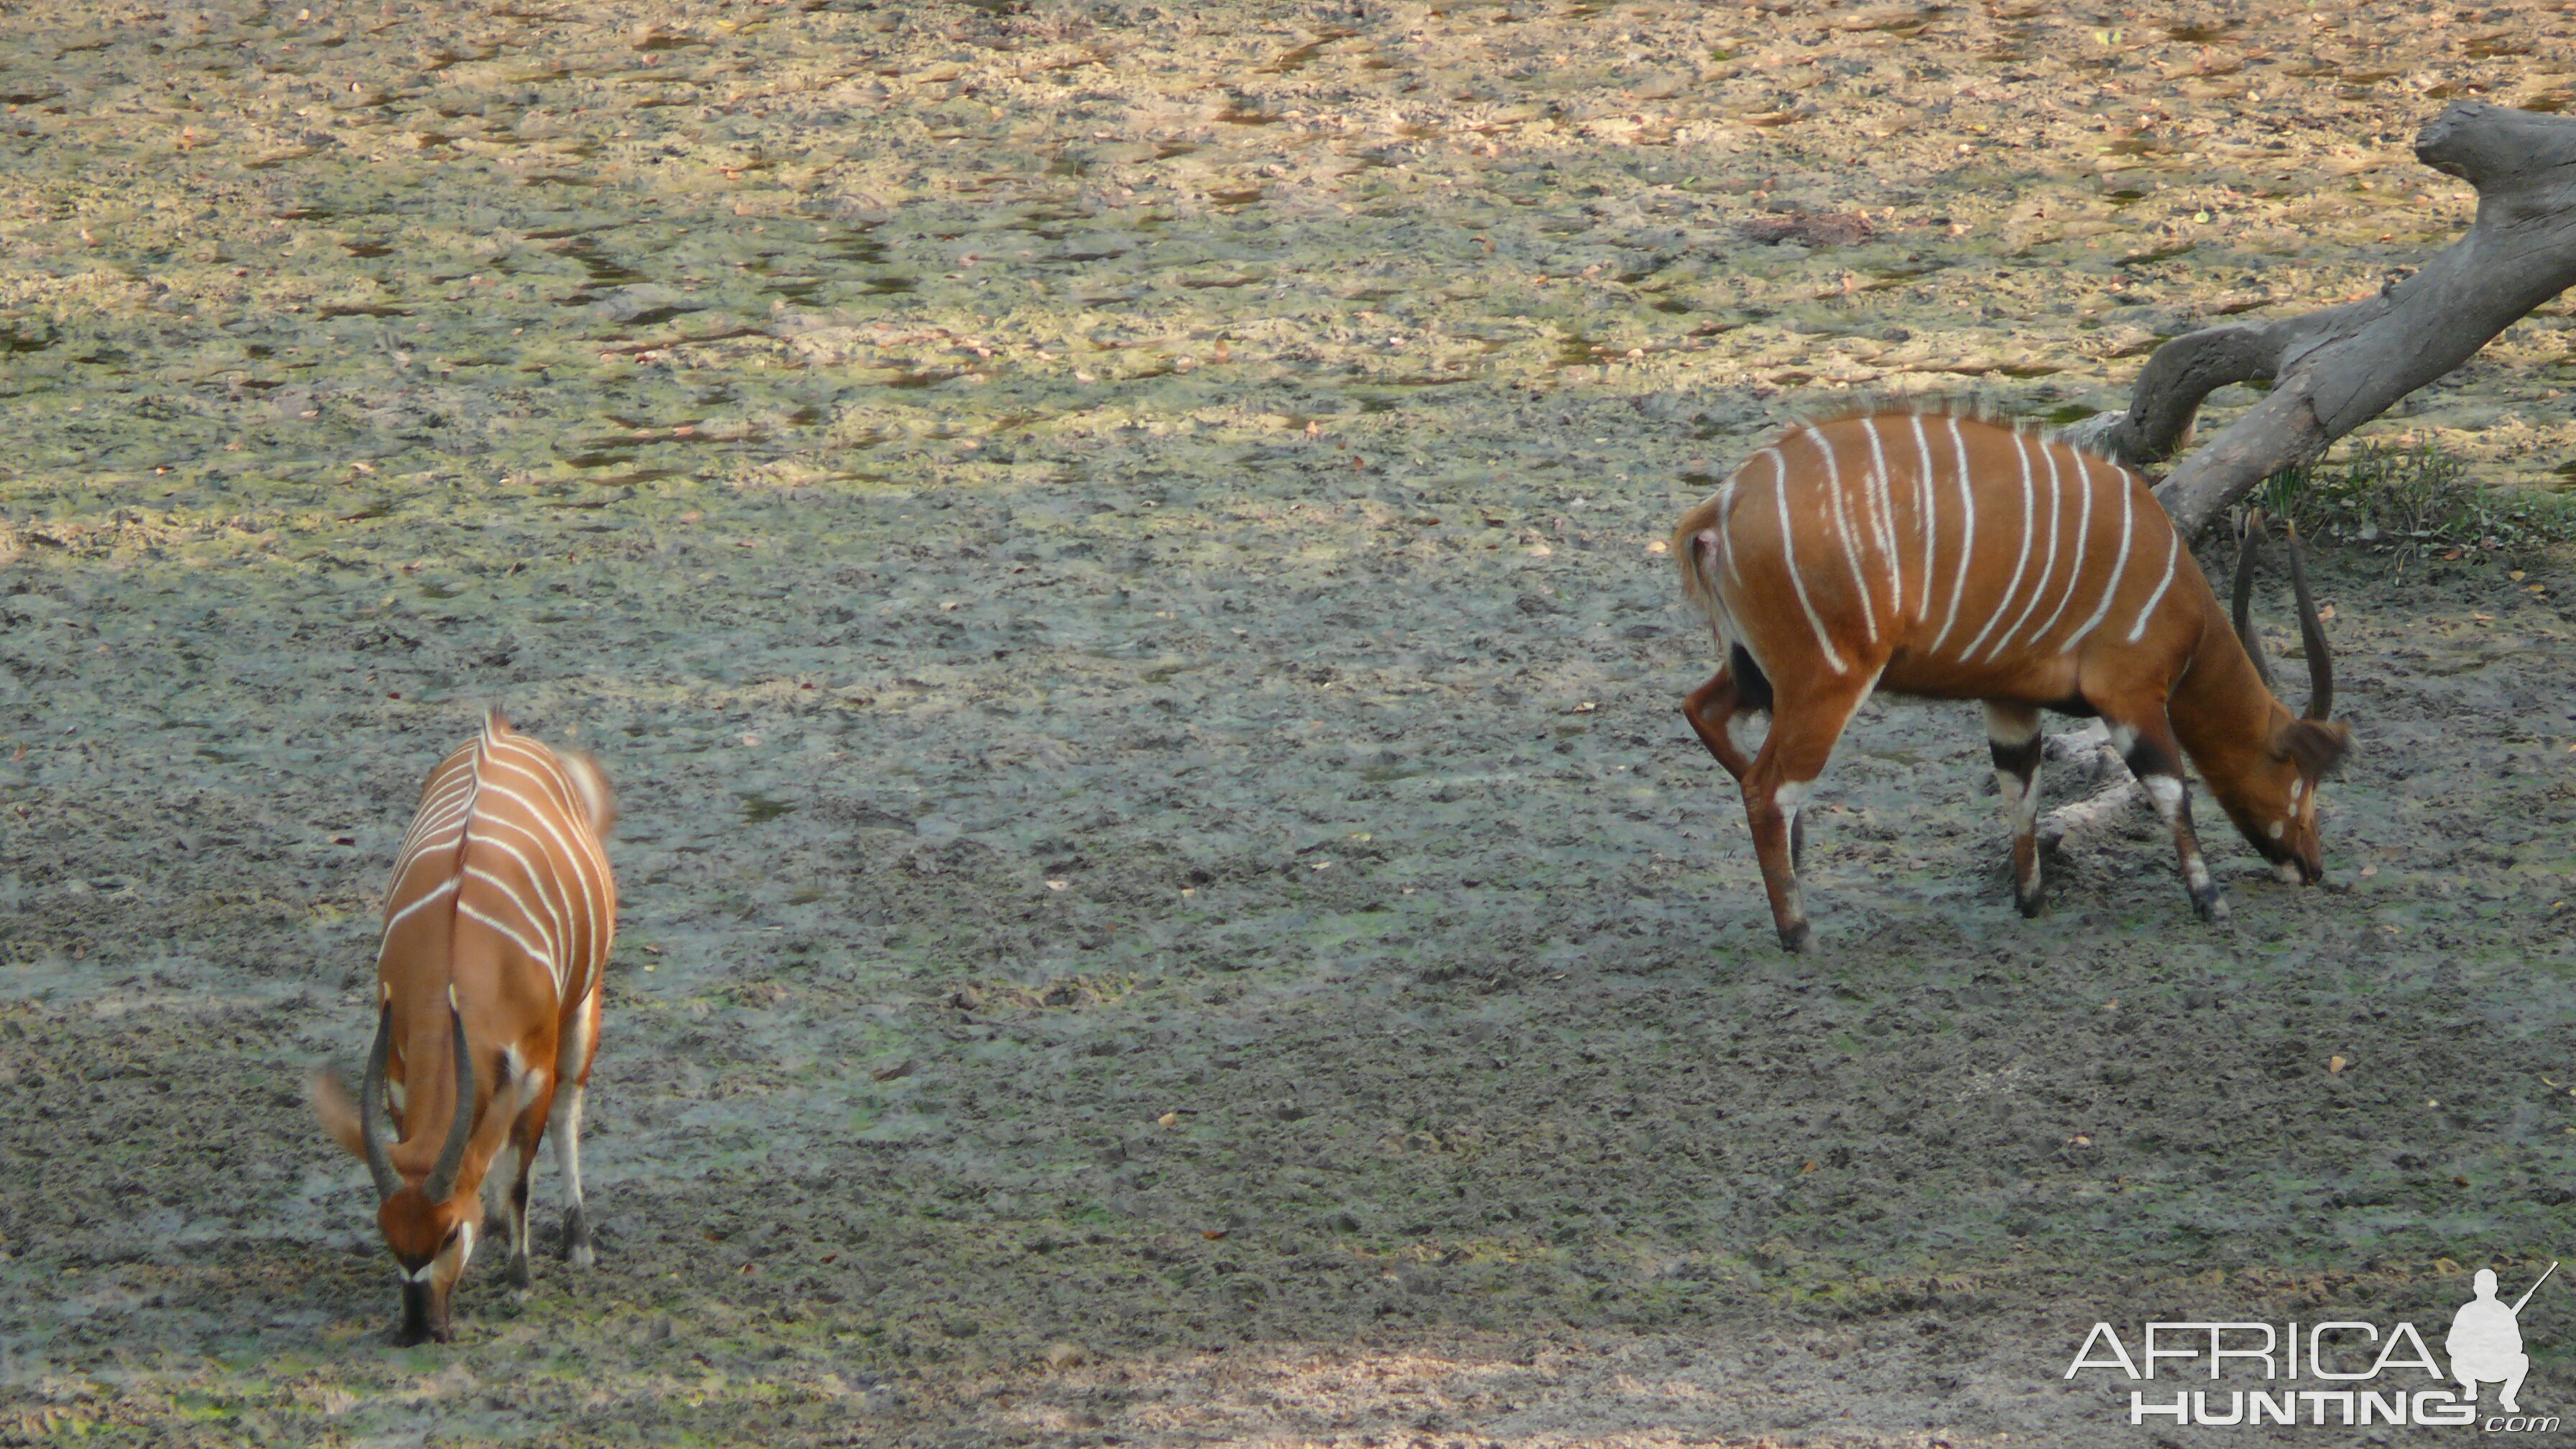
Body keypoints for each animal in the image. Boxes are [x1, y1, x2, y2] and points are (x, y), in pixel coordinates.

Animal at [305, 706, 612, 1340]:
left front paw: (520, 1279)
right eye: (388, 1234)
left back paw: (577, 1240)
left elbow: (521, 1174)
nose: (421, 1328)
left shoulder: (535, 1066)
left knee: (568, 1110)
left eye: (448, 1233)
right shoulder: (400, 1075)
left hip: (584, 1005)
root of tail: (498, 730)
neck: (459, 952)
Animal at [1669, 410, 2359, 949]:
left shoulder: (2010, 700)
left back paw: (1801, 852)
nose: (2313, 867)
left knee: (1703, 712)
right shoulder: (2131, 693)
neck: (2175, 591)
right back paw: (1799, 932)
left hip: (1757, 673)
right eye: (2300, 778)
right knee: (1767, 788)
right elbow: (2171, 790)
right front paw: (2210, 902)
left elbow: (2020, 790)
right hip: (1826, 681)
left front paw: (2032, 900)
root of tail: (1720, 509)